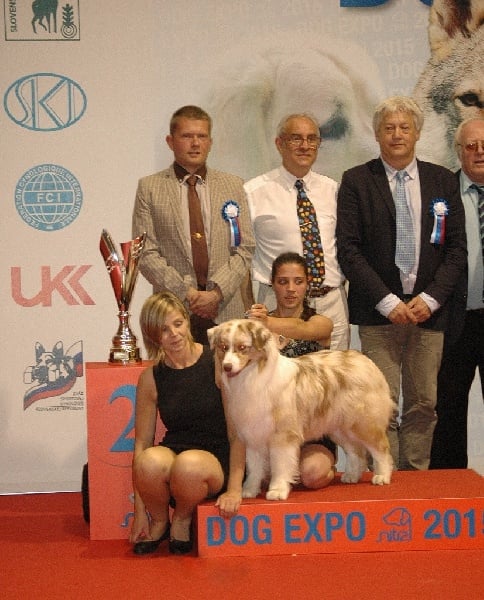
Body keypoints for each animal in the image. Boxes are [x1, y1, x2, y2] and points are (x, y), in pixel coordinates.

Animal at [208, 319, 394, 501]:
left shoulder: (283, 435)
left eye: (242, 348)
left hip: (363, 423)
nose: (227, 367)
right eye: (223, 347)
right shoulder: (254, 435)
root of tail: (363, 359)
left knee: (381, 448)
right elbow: (254, 467)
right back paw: (351, 476)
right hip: (340, 428)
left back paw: (382, 476)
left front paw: (277, 490)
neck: (253, 376)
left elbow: (280, 465)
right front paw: (249, 490)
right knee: (355, 451)